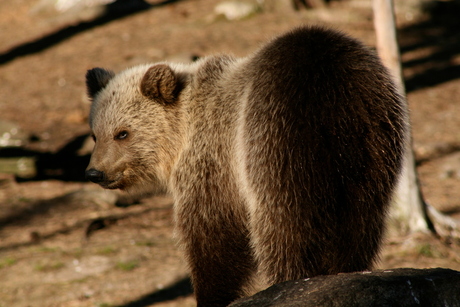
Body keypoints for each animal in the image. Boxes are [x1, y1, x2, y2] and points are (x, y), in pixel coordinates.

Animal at [85, 25, 406, 307]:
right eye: (95, 133)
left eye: (123, 133)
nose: (94, 172)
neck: (181, 134)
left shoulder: (214, 162)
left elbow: (213, 234)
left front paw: (212, 295)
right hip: (372, 143)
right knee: (361, 221)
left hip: (274, 140)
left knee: (284, 229)